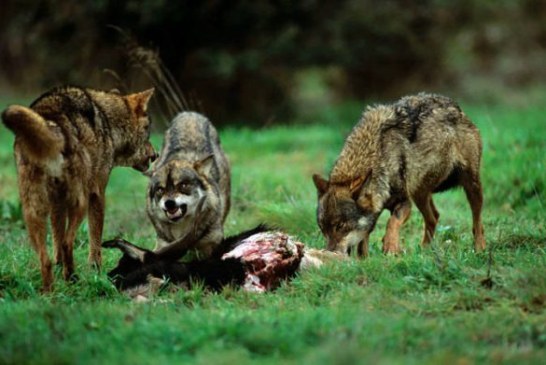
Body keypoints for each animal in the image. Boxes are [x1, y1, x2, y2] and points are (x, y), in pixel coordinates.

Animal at [1, 86, 155, 290]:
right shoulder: (97, 193)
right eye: (148, 131)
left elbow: (56, 243)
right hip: (79, 203)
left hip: (32, 212)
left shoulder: (57, 202)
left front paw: (60, 268)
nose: (156, 155)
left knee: (45, 257)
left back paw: (50, 291)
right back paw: (72, 279)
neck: (108, 122)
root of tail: (51, 119)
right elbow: (95, 240)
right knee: (68, 242)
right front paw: (96, 272)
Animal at [146, 112, 228, 258]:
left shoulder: (211, 243)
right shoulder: (163, 244)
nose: (169, 203)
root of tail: (189, 114)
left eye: (183, 185)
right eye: (160, 190)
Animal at [310, 92, 484, 256]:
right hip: (419, 191)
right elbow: (363, 241)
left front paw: (391, 247)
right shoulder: (375, 213)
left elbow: (392, 222)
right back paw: (424, 252)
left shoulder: (404, 202)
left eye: (340, 226)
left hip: (470, 185)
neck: (378, 157)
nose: (328, 252)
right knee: (434, 217)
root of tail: (456, 107)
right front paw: (364, 260)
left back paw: (479, 249)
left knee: (477, 221)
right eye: (323, 229)